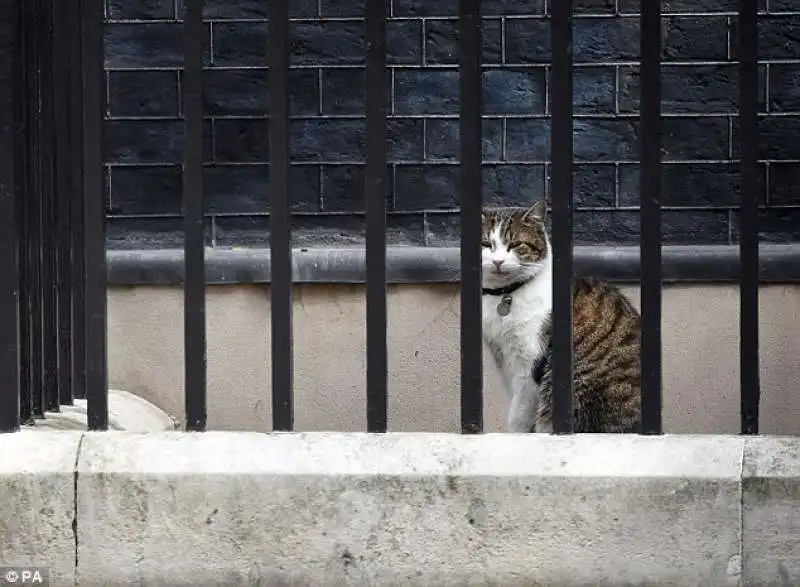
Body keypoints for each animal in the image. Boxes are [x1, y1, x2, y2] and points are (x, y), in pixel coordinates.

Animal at [478, 200, 640, 434]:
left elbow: (519, 414)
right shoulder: (502, 357)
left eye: (515, 244)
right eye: (485, 244)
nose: (498, 262)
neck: (506, 295)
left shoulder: (529, 362)